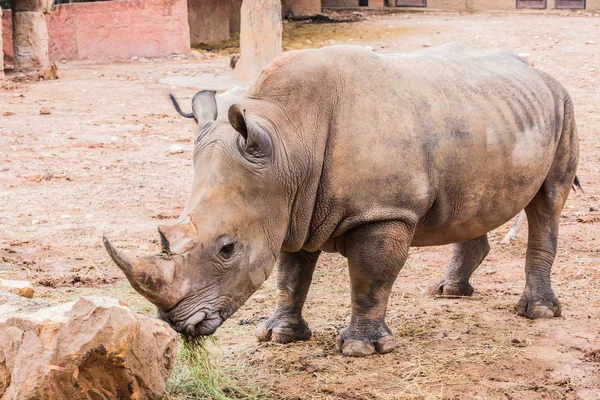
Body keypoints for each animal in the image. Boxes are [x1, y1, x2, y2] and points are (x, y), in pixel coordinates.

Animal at [102, 43, 576, 356]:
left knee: (548, 201)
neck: (289, 141)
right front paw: (278, 336)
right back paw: (448, 293)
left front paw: (363, 349)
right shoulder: (293, 208)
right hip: (485, 113)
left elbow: (371, 277)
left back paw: (538, 313)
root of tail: (539, 73)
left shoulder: (382, 212)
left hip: (563, 104)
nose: (179, 324)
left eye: (227, 248)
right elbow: (290, 274)